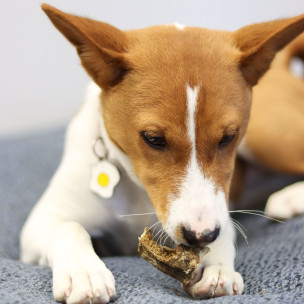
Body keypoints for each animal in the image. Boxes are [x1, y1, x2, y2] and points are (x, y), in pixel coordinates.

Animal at [20, 3, 304, 302]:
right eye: (154, 139)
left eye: (228, 137)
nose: (201, 235)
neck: (137, 189)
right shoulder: (44, 219)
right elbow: (69, 227)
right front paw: (84, 272)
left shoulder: (220, 210)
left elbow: (225, 230)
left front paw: (217, 266)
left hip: (266, 136)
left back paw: (290, 198)